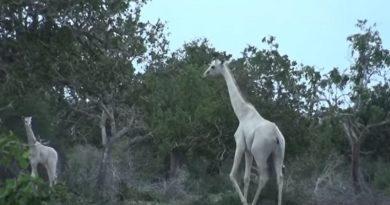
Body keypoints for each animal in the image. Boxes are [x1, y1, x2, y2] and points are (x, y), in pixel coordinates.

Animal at [203, 58, 284, 205]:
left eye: (212, 67)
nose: (205, 74)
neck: (242, 114)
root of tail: (277, 136)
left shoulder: (240, 144)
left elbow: (232, 175)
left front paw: (244, 201)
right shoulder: (248, 151)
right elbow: (246, 178)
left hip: (260, 153)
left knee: (264, 178)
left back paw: (253, 202)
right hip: (278, 154)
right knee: (279, 178)